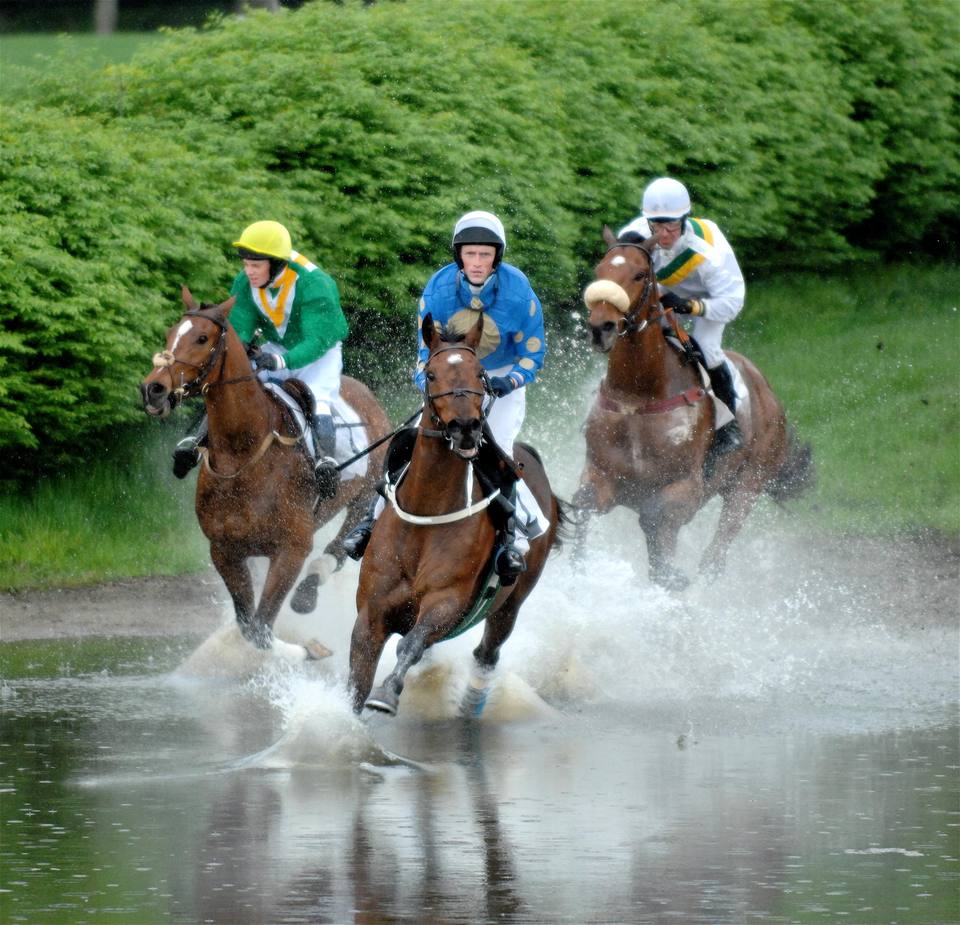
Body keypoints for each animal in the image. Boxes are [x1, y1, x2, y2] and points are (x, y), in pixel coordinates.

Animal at [138, 286, 390, 656]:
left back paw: (309, 590)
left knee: (340, 545)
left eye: (202, 338)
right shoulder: (225, 550)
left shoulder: (291, 551)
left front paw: (310, 650)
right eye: (171, 333)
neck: (244, 455)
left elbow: (261, 628)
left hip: (361, 496)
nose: (153, 388)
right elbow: (249, 625)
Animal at [348, 310, 568, 716]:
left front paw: (386, 693)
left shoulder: (447, 602)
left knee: (486, 653)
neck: (427, 512)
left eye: (480, 373)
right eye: (432, 374)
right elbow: (356, 681)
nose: (466, 428)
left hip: (511, 601)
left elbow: (410, 644)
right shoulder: (371, 614)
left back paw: (471, 704)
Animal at [572, 231, 812, 592]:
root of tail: (767, 391)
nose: (602, 327)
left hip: (748, 484)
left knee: (716, 552)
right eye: (599, 269)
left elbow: (653, 518)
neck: (637, 396)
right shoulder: (601, 475)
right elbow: (582, 503)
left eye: (639, 274)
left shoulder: (687, 488)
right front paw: (577, 569)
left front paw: (669, 576)